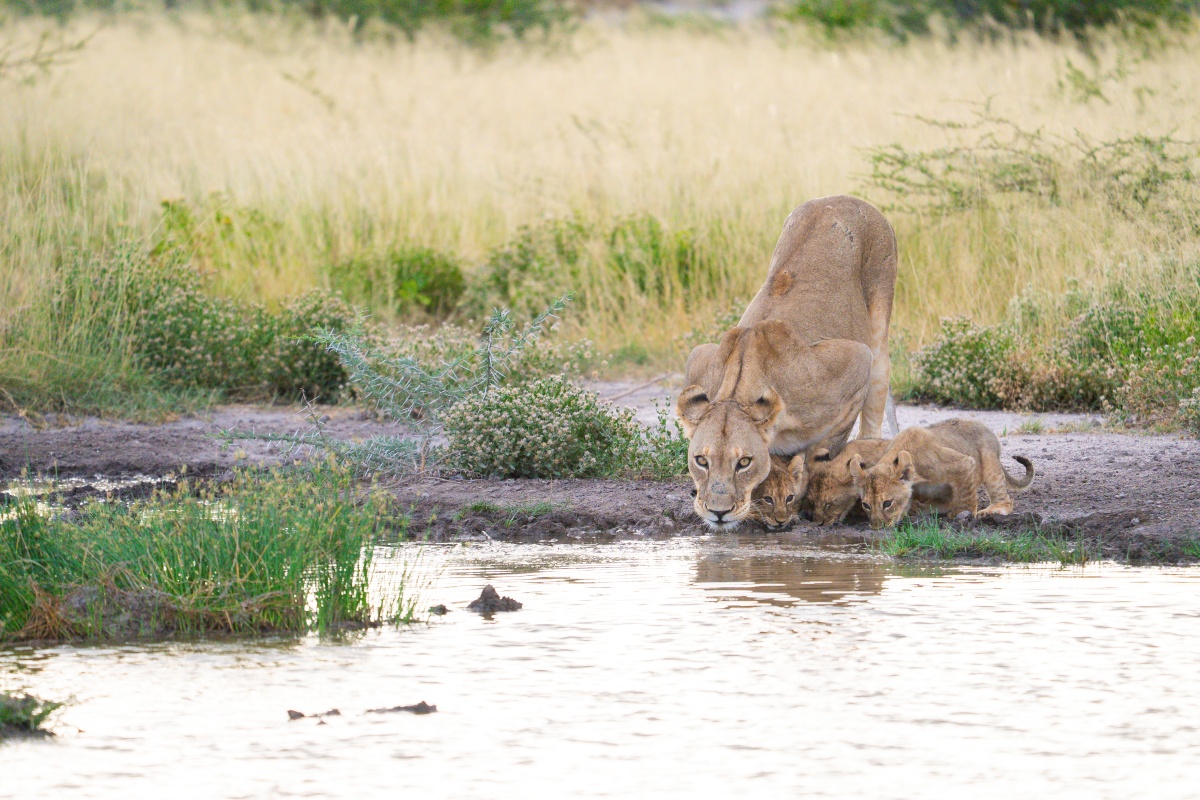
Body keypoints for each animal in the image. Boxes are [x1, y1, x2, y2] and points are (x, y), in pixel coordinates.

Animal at [677, 196, 897, 528]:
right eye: (701, 461)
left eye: (744, 462)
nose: (718, 512)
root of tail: (845, 198)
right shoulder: (698, 360)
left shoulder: (855, 360)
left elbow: (822, 451)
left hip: (878, 331)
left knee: (874, 412)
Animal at [849, 419, 1035, 529]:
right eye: (866, 505)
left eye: (887, 503)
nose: (877, 527)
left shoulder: (963, 463)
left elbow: (966, 496)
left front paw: (963, 514)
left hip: (990, 464)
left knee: (1004, 499)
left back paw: (991, 510)